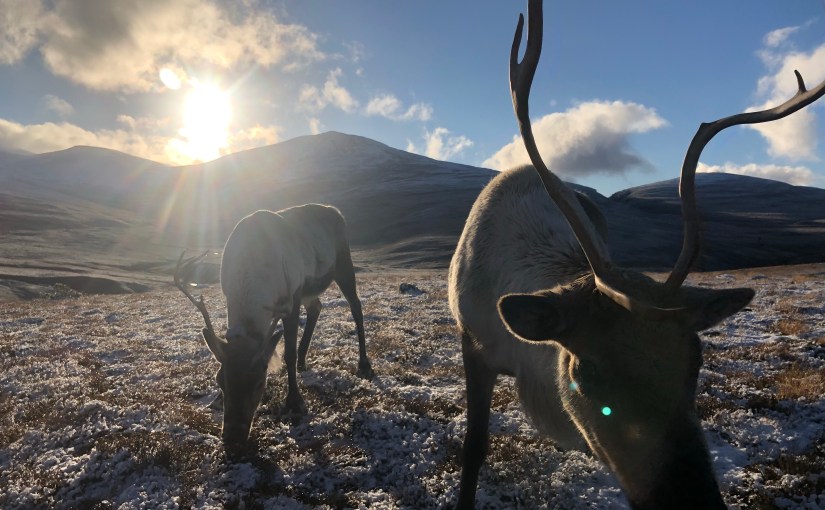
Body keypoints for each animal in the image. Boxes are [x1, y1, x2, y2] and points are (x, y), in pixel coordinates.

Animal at [175, 204, 374, 450]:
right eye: (219, 380)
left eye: (260, 383)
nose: (233, 437)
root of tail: (335, 212)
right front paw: (218, 400)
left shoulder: (292, 297)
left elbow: (287, 353)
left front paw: (295, 402)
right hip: (311, 290)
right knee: (316, 307)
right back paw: (303, 360)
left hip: (343, 264)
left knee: (356, 307)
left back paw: (364, 364)